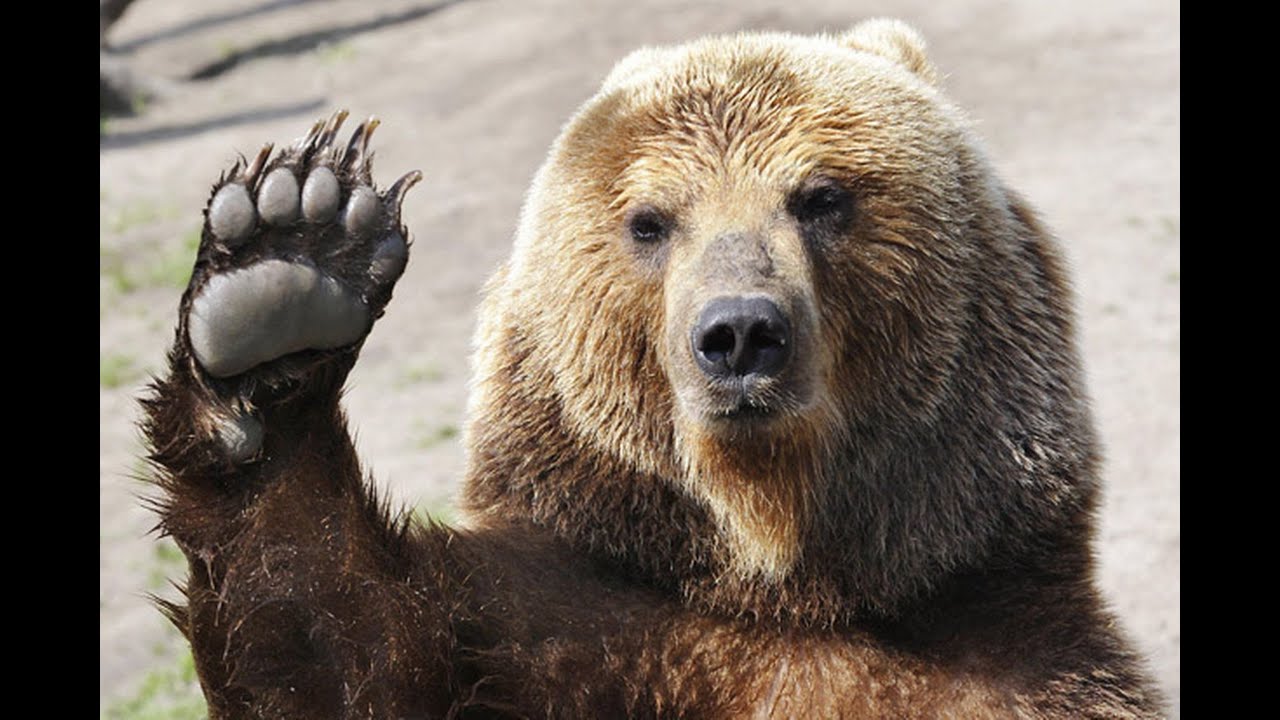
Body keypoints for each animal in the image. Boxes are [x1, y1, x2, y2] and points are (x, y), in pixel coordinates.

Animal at [141, 18, 1163, 718]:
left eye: (821, 196)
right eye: (649, 221)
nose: (742, 333)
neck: (780, 579)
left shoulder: (1015, 664)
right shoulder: (564, 629)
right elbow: (336, 646)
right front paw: (287, 263)